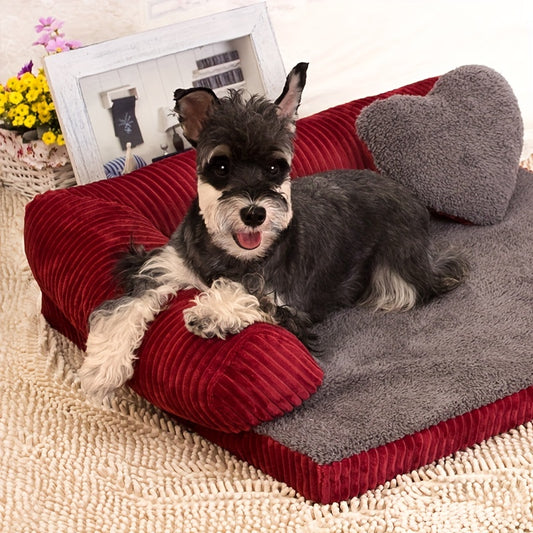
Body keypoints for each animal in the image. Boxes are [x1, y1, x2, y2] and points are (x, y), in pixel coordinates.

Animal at [79, 62, 466, 402]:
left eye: (275, 167)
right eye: (221, 166)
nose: (254, 213)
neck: (229, 255)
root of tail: (406, 193)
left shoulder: (286, 304)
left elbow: (248, 294)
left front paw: (211, 313)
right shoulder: (160, 267)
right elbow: (124, 307)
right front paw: (101, 368)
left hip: (400, 271)